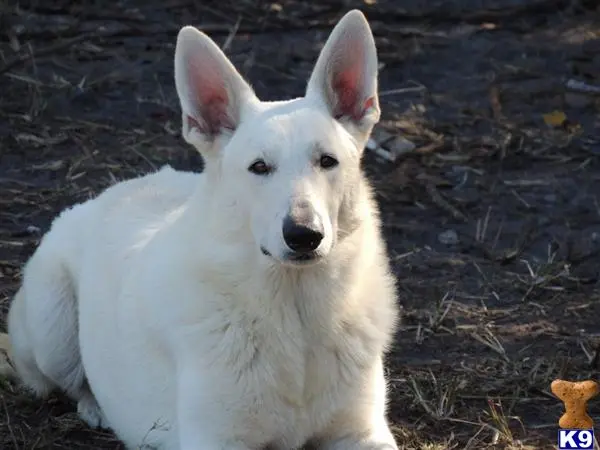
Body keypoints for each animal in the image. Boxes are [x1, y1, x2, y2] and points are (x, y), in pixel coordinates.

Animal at [4, 10, 400, 450]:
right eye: (259, 167)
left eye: (327, 161)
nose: (303, 235)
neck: (295, 312)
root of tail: (104, 195)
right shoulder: (216, 439)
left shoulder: (363, 432)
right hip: (52, 330)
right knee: (68, 383)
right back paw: (96, 407)